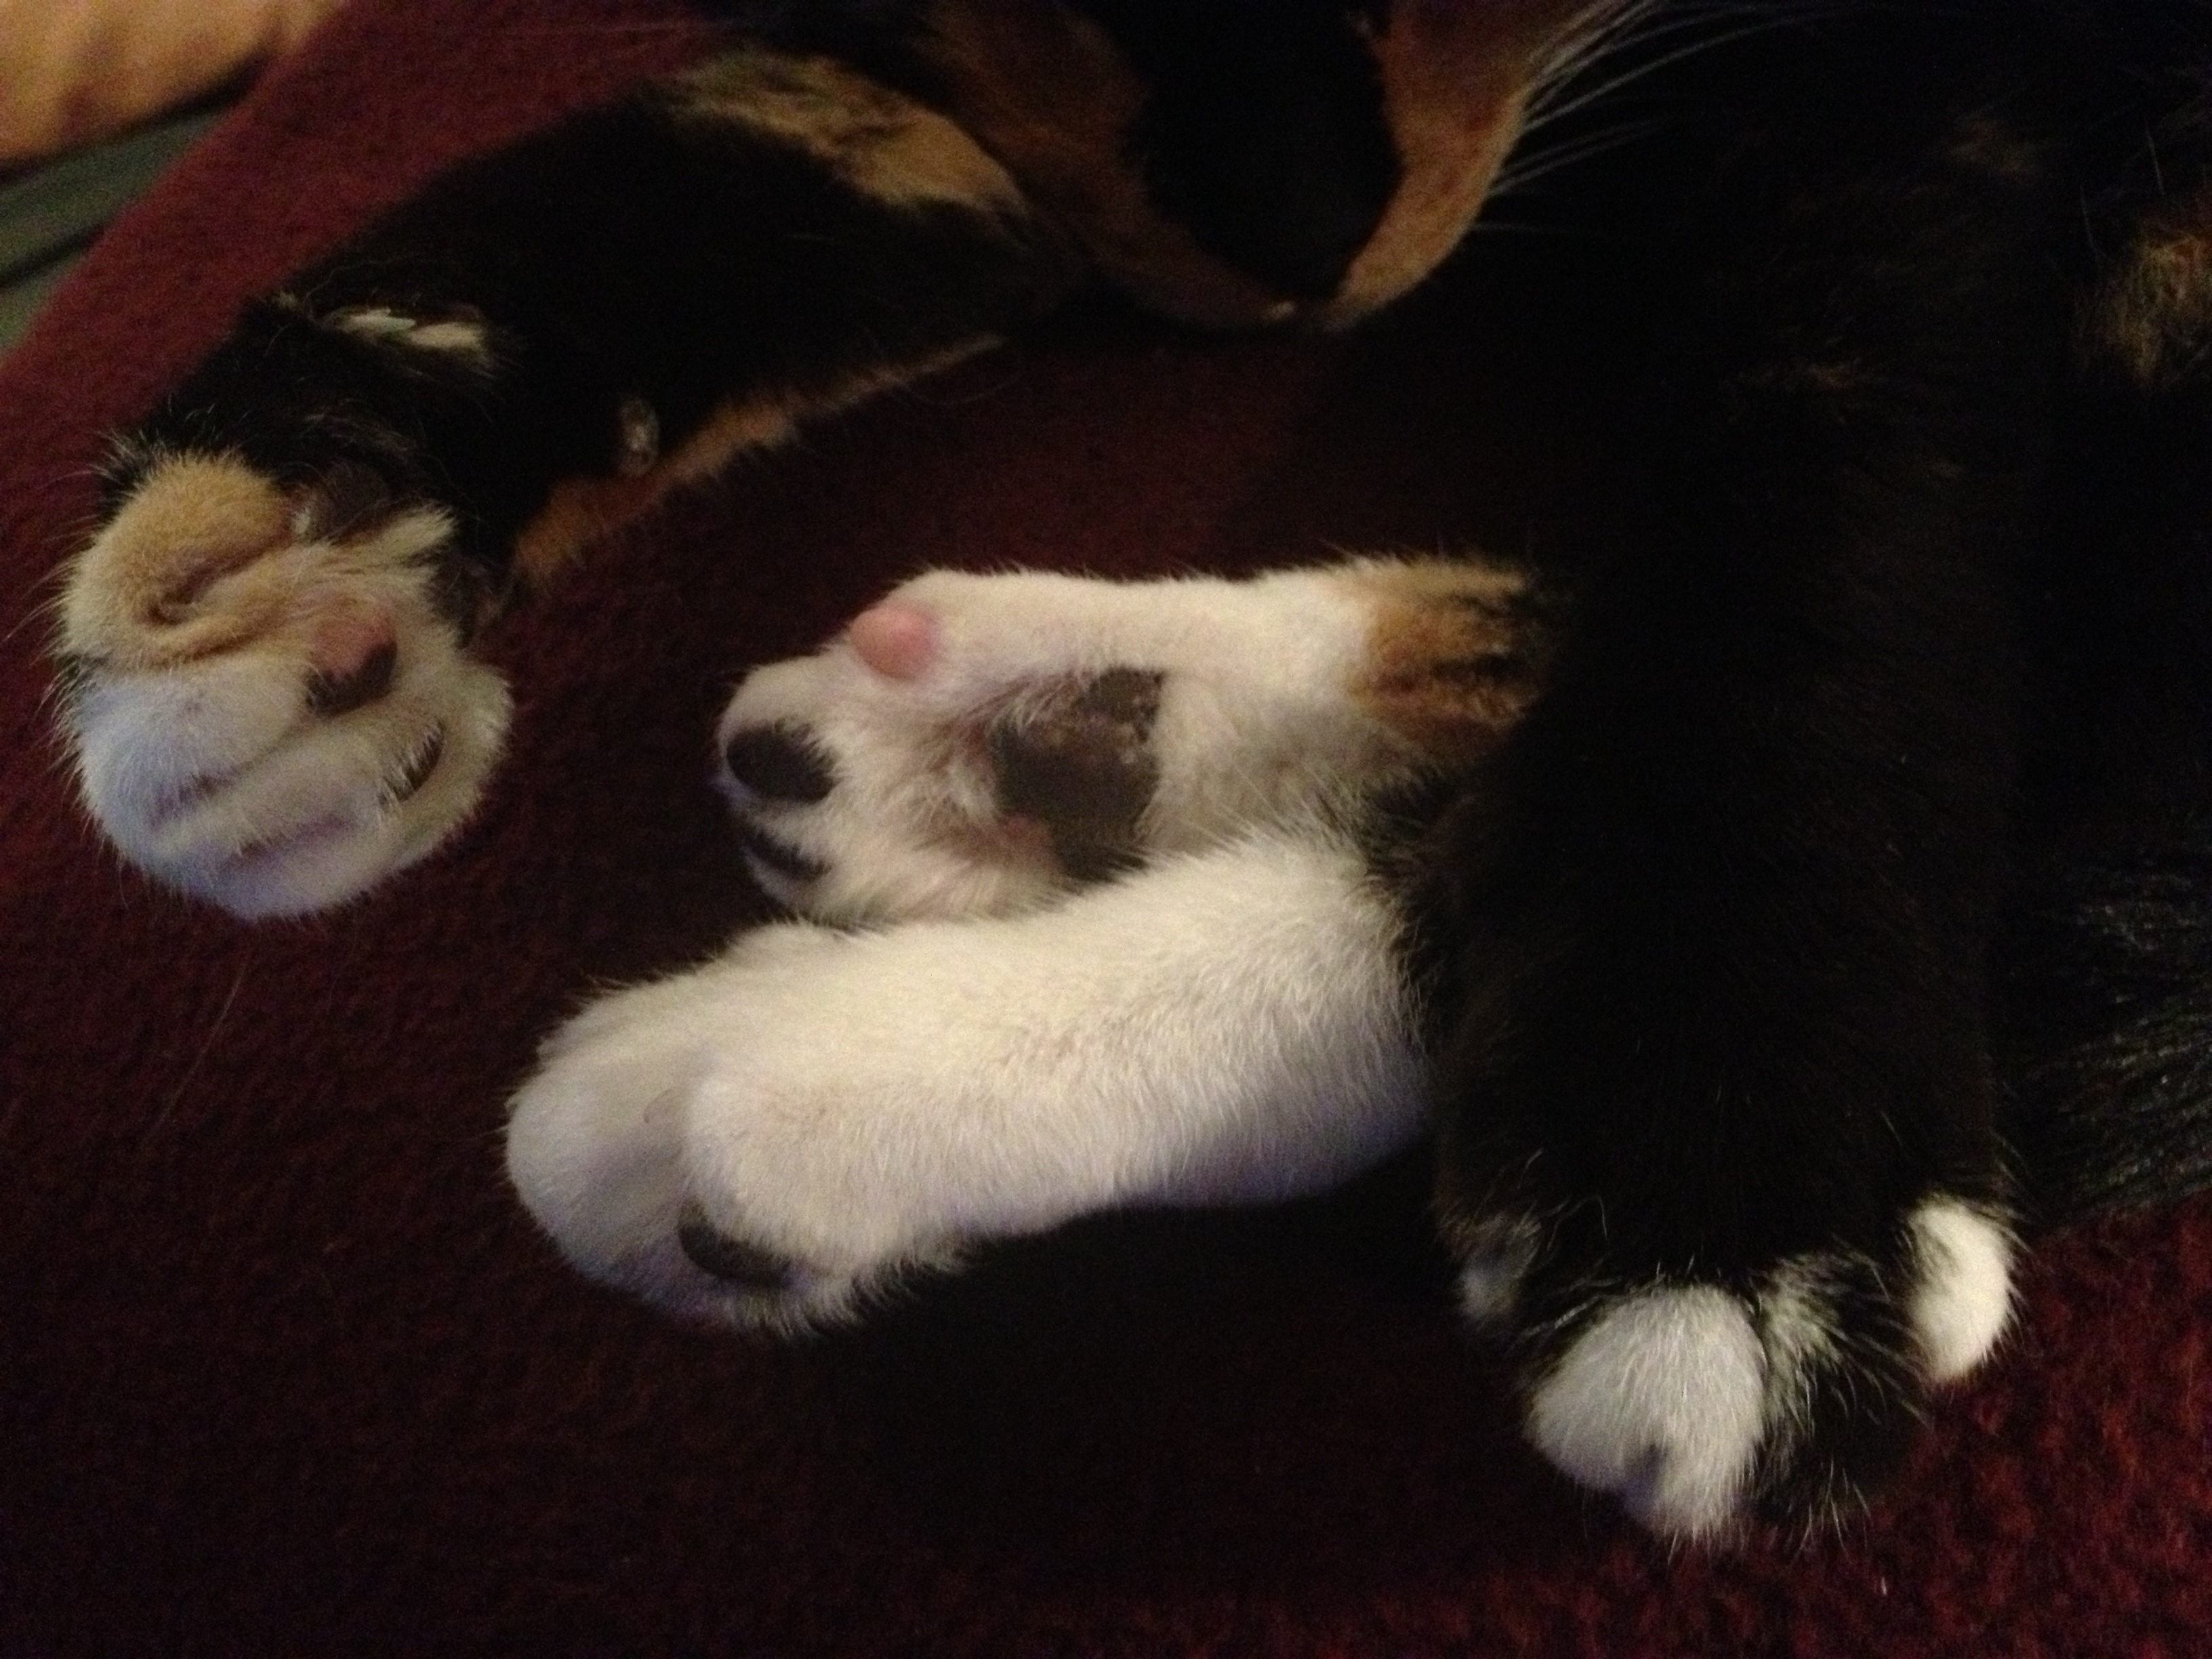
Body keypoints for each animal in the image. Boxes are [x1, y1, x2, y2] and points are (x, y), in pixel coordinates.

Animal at [49, 0, 2212, 1540]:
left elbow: (1827, 436)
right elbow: (658, 194)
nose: (1304, 251)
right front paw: (254, 560)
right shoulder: (979, 119)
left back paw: (814, 1060)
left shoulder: (1919, 103)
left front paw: (1723, 1120)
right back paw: (1022, 744)